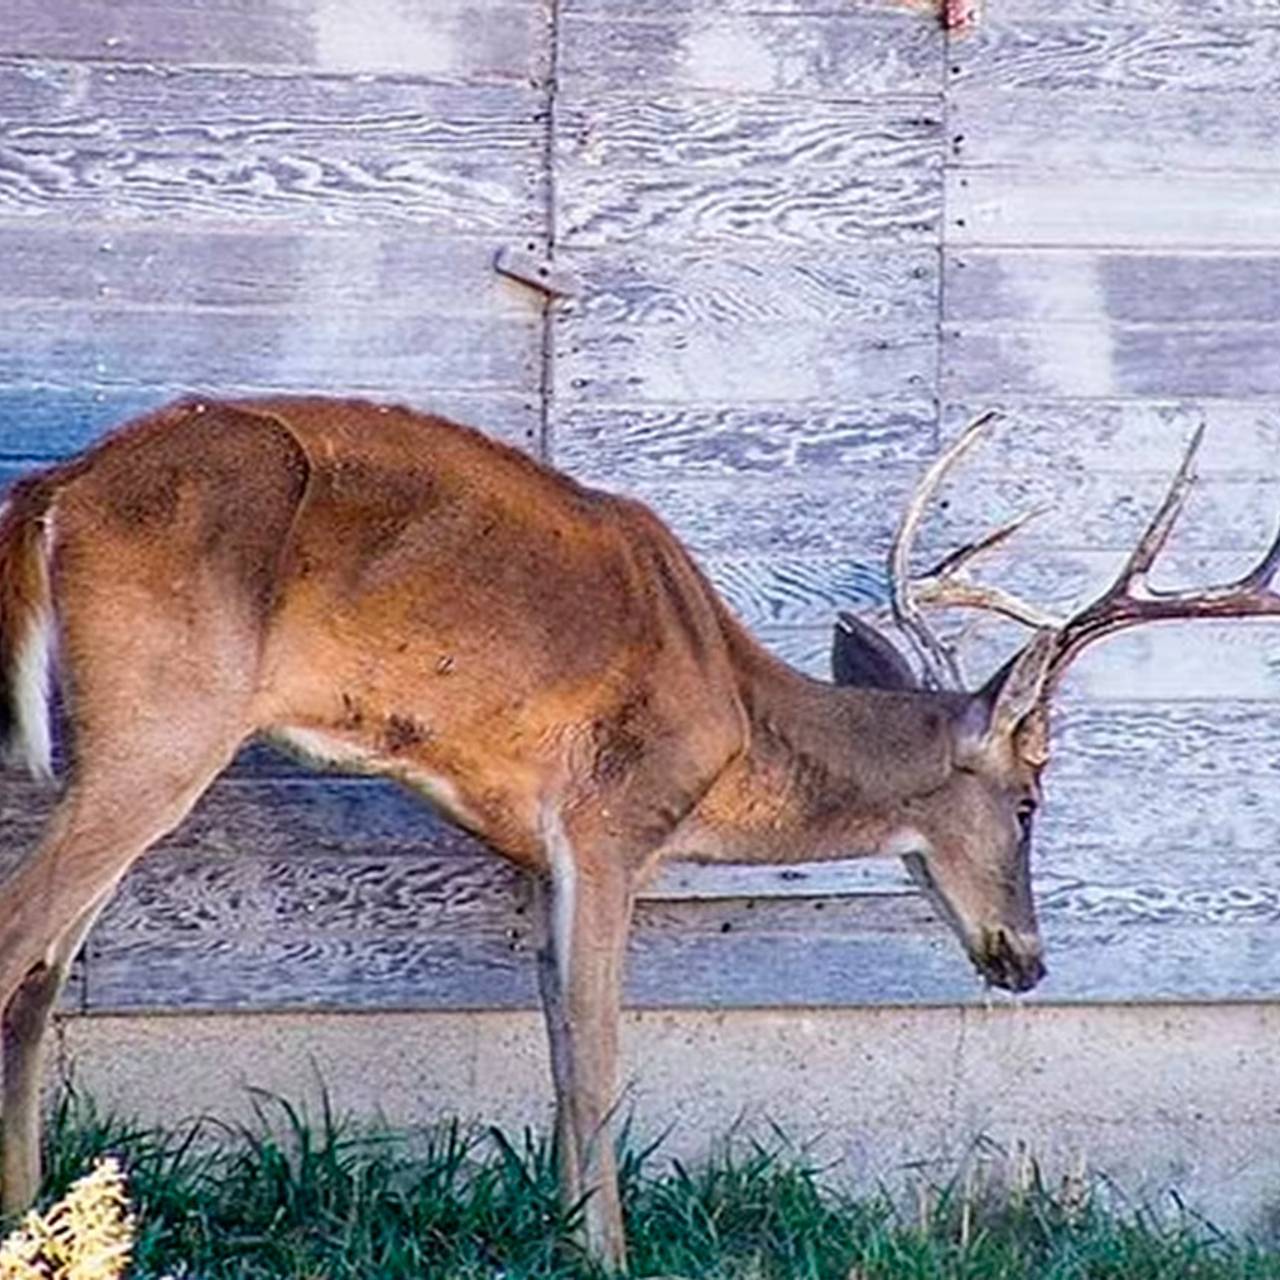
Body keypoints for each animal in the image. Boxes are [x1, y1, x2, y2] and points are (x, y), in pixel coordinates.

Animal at [0, 399, 1274, 1269]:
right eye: (1029, 799)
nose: (1026, 958)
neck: (733, 718)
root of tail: (48, 493)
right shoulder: (611, 821)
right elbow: (601, 1050)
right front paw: (602, 1249)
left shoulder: (534, 853)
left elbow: (560, 1041)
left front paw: (565, 1229)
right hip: (166, 720)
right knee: (23, 937)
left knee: (46, 967)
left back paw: (35, 1204)